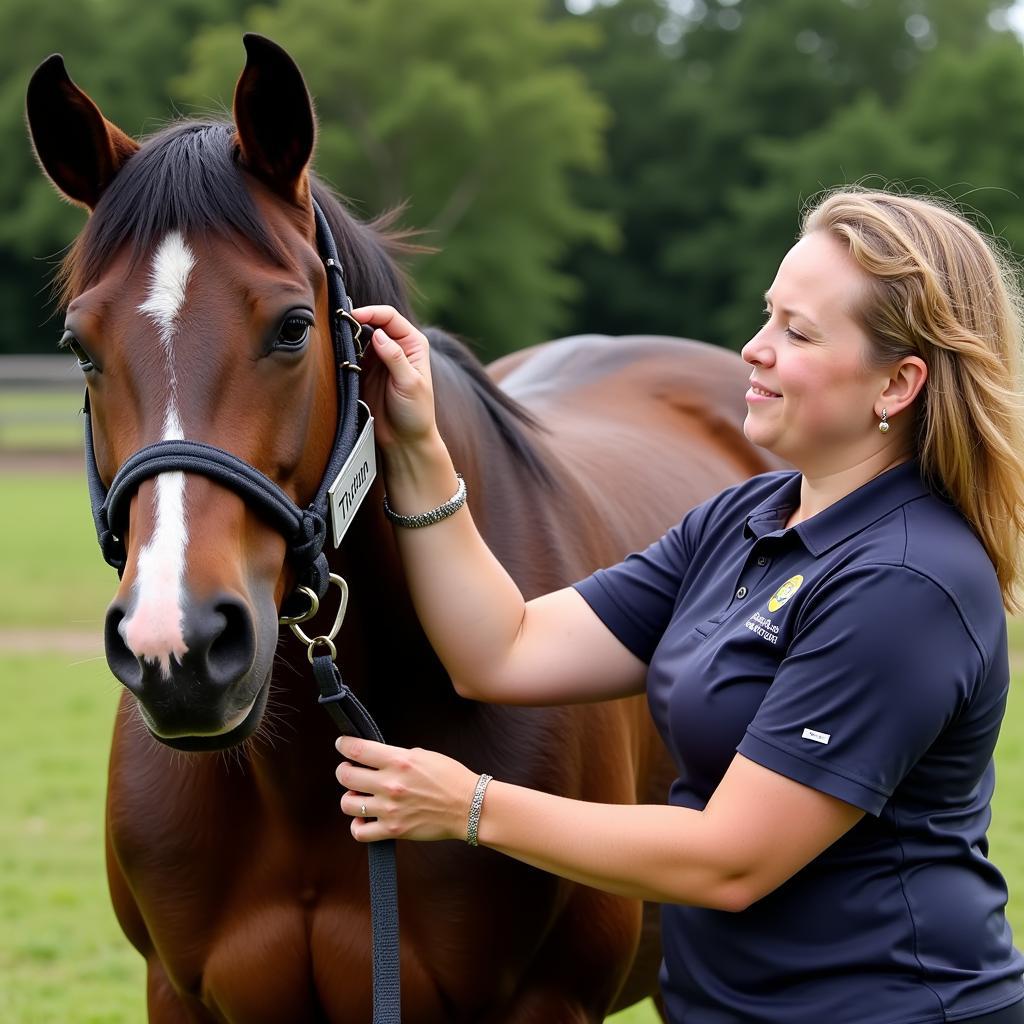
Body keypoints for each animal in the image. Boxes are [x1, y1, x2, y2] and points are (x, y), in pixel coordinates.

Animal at [24, 32, 778, 1024]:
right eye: (80, 346)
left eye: (294, 327)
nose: (175, 648)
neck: (302, 781)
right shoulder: (180, 996)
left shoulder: (547, 1000)